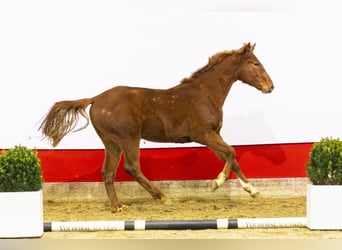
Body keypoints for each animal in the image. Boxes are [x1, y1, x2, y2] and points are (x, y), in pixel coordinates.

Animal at [40, 43, 274, 211]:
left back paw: (117, 207)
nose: (270, 87)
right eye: (255, 63)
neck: (205, 94)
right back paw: (162, 197)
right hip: (129, 137)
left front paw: (253, 190)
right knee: (131, 167)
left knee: (108, 172)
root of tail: (96, 99)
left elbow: (230, 158)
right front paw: (216, 183)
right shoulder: (203, 134)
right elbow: (231, 152)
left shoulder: (214, 134)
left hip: (111, 142)